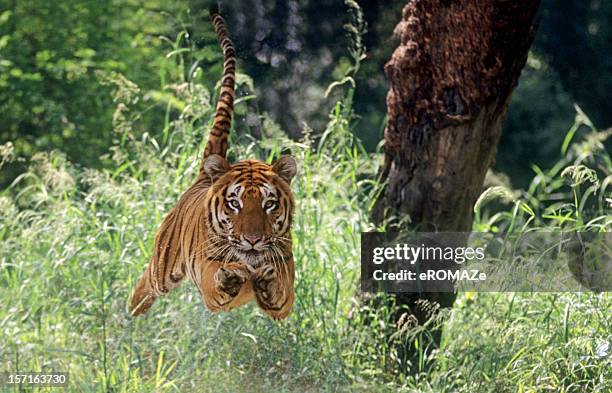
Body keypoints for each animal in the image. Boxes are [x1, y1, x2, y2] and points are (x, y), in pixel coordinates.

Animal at [130, 4, 298, 320]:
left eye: (269, 204)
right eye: (235, 203)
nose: (253, 239)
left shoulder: (285, 283)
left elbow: (279, 290)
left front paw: (265, 278)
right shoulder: (208, 279)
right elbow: (220, 282)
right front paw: (232, 276)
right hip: (161, 268)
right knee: (144, 287)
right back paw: (129, 316)